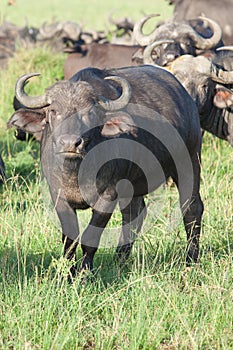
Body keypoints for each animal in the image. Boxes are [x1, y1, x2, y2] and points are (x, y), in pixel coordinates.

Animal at [8, 65, 203, 274]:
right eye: (53, 110)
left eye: (90, 113)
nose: (70, 143)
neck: (77, 172)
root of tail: (186, 99)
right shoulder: (58, 195)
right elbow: (69, 239)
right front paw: (68, 273)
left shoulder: (108, 195)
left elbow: (90, 238)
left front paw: (85, 272)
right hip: (134, 184)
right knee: (134, 215)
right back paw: (120, 260)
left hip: (189, 162)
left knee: (191, 208)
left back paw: (191, 258)